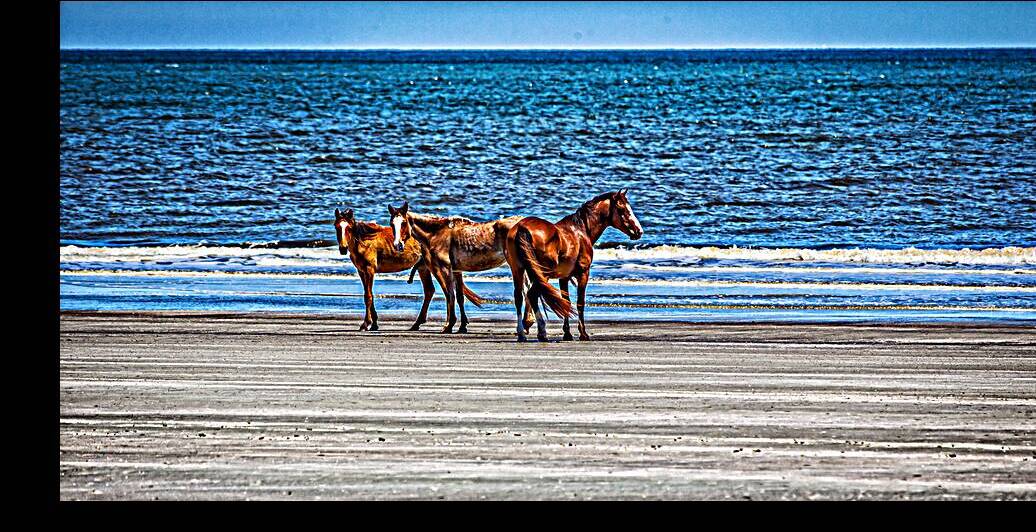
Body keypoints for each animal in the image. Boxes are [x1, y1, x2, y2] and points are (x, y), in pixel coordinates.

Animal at [333, 208, 481, 332]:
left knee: (448, 292)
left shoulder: (369, 270)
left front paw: (366, 324)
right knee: (433, 291)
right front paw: (374, 323)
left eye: (349, 228)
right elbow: (369, 295)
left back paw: (449, 324)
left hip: (435, 267)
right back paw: (423, 323)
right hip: (425, 268)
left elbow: (368, 296)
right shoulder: (362, 271)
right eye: (336, 226)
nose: (343, 248)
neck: (364, 240)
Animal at [387, 201, 536, 334]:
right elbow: (459, 296)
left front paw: (449, 325)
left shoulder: (445, 268)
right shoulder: (456, 270)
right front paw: (462, 326)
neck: (437, 233)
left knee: (526, 289)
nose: (397, 245)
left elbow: (450, 295)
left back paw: (526, 324)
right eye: (391, 224)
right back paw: (527, 323)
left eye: (403, 223)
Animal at [504, 189, 643, 342]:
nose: (639, 231)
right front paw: (583, 333)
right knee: (532, 295)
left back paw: (522, 334)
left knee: (519, 297)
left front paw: (567, 333)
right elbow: (580, 302)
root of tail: (522, 228)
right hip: (542, 273)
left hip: (518, 270)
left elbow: (567, 301)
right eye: (622, 209)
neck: (581, 230)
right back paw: (541, 332)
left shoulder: (563, 278)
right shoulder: (583, 273)